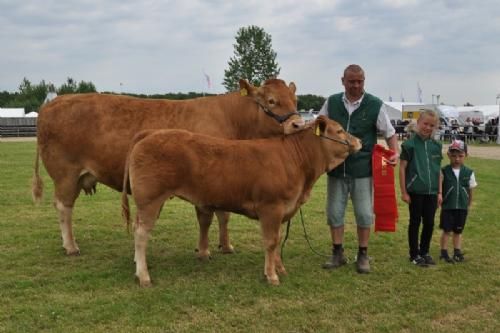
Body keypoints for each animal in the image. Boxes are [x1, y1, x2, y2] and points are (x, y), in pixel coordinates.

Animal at [33, 79, 304, 255]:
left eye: (295, 100)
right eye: (272, 101)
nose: (298, 124)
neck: (233, 120)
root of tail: (52, 103)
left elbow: (223, 215)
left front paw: (225, 245)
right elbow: (210, 216)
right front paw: (206, 249)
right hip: (65, 174)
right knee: (63, 207)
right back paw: (71, 246)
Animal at [122, 115, 362, 286]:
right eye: (339, 130)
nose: (359, 141)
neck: (297, 163)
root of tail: (150, 133)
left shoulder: (282, 210)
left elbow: (277, 240)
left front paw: (279, 268)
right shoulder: (271, 208)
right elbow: (271, 241)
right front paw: (271, 276)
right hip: (150, 200)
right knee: (141, 234)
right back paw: (143, 276)